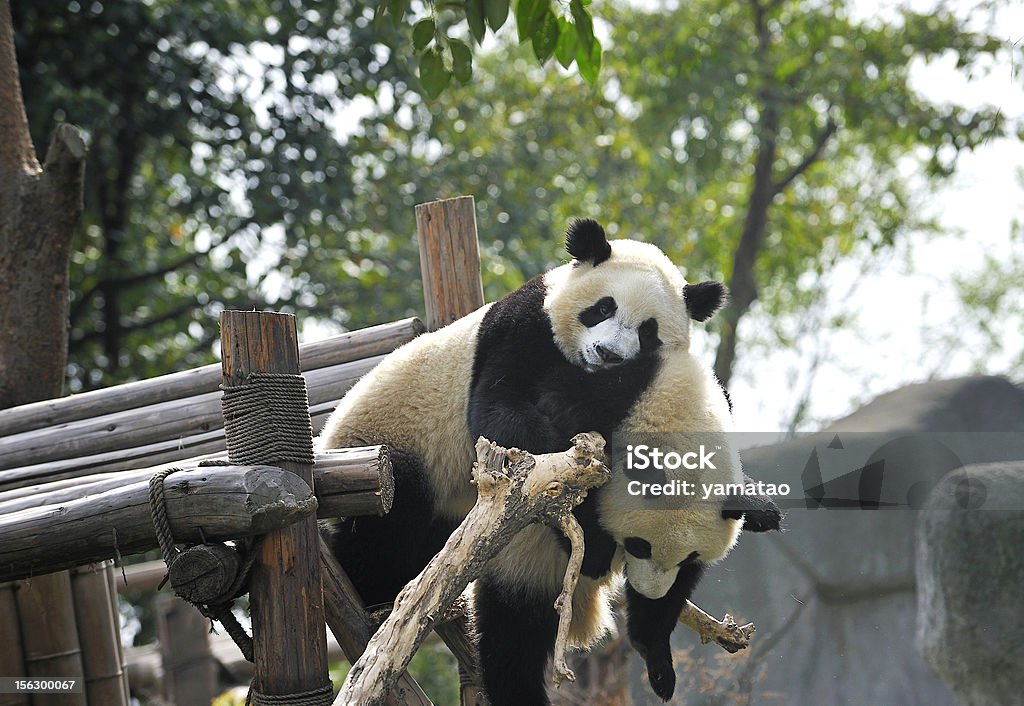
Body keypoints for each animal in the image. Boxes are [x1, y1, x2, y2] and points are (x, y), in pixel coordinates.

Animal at [315, 217, 778, 700]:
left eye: (648, 330)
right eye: (602, 309)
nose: (608, 354)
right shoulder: (522, 332)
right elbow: (503, 418)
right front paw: (589, 533)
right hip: (394, 447)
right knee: (388, 534)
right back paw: (373, 595)